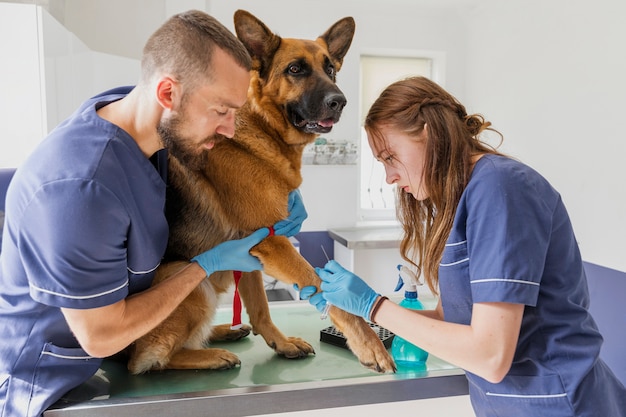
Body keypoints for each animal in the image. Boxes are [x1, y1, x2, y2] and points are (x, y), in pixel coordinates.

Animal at [125, 9, 394, 374]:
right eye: (295, 69)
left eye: (330, 69)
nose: (339, 101)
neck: (261, 126)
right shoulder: (273, 243)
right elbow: (322, 288)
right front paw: (368, 343)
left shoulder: (252, 247)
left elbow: (260, 305)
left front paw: (281, 343)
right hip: (191, 282)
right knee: (148, 360)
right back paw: (209, 355)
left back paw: (222, 331)